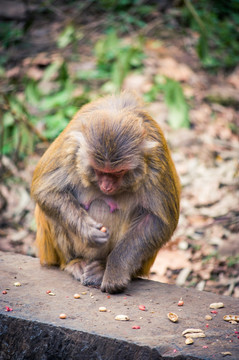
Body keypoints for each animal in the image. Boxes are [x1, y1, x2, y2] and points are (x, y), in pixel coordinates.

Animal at [32, 91, 181, 294]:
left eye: (118, 172)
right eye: (100, 171)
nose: (106, 186)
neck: (116, 112)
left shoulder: (157, 160)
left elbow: (158, 220)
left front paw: (115, 269)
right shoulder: (69, 147)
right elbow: (45, 190)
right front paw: (88, 231)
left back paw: (101, 267)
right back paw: (75, 262)